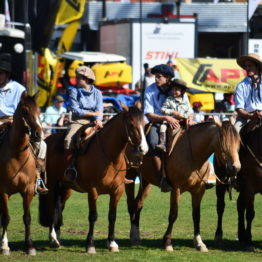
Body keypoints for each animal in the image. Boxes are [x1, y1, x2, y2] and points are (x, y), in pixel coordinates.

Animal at [0, 91, 42, 255]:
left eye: (39, 111)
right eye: (25, 111)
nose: (38, 134)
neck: (17, 155)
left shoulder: (28, 190)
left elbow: (27, 217)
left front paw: (29, 246)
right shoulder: (3, 192)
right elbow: (6, 217)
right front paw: (4, 246)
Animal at [39, 105, 149, 253]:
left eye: (144, 124)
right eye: (131, 124)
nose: (143, 148)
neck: (110, 157)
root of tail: (48, 140)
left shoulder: (117, 190)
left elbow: (112, 216)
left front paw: (112, 243)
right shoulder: (93, 191)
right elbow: (93, 216)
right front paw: (90, 245)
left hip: (66, 188)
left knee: (59, 207)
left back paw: (57, 238)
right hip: (51, 184)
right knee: (52, 208)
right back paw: (53, 238)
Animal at [126, 120, 241, 252]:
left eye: (238, 142)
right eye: (224, 143)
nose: (236, 167)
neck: (193, 155)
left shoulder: (198, 191)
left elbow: (196, 215)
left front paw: (199, 243)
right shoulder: (176, 189)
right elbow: (173, 214)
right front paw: (167, 242)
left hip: (146, 181)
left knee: (138, 204)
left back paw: (135, 236)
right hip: (129, 176)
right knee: (132, 205)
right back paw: (134, 236)